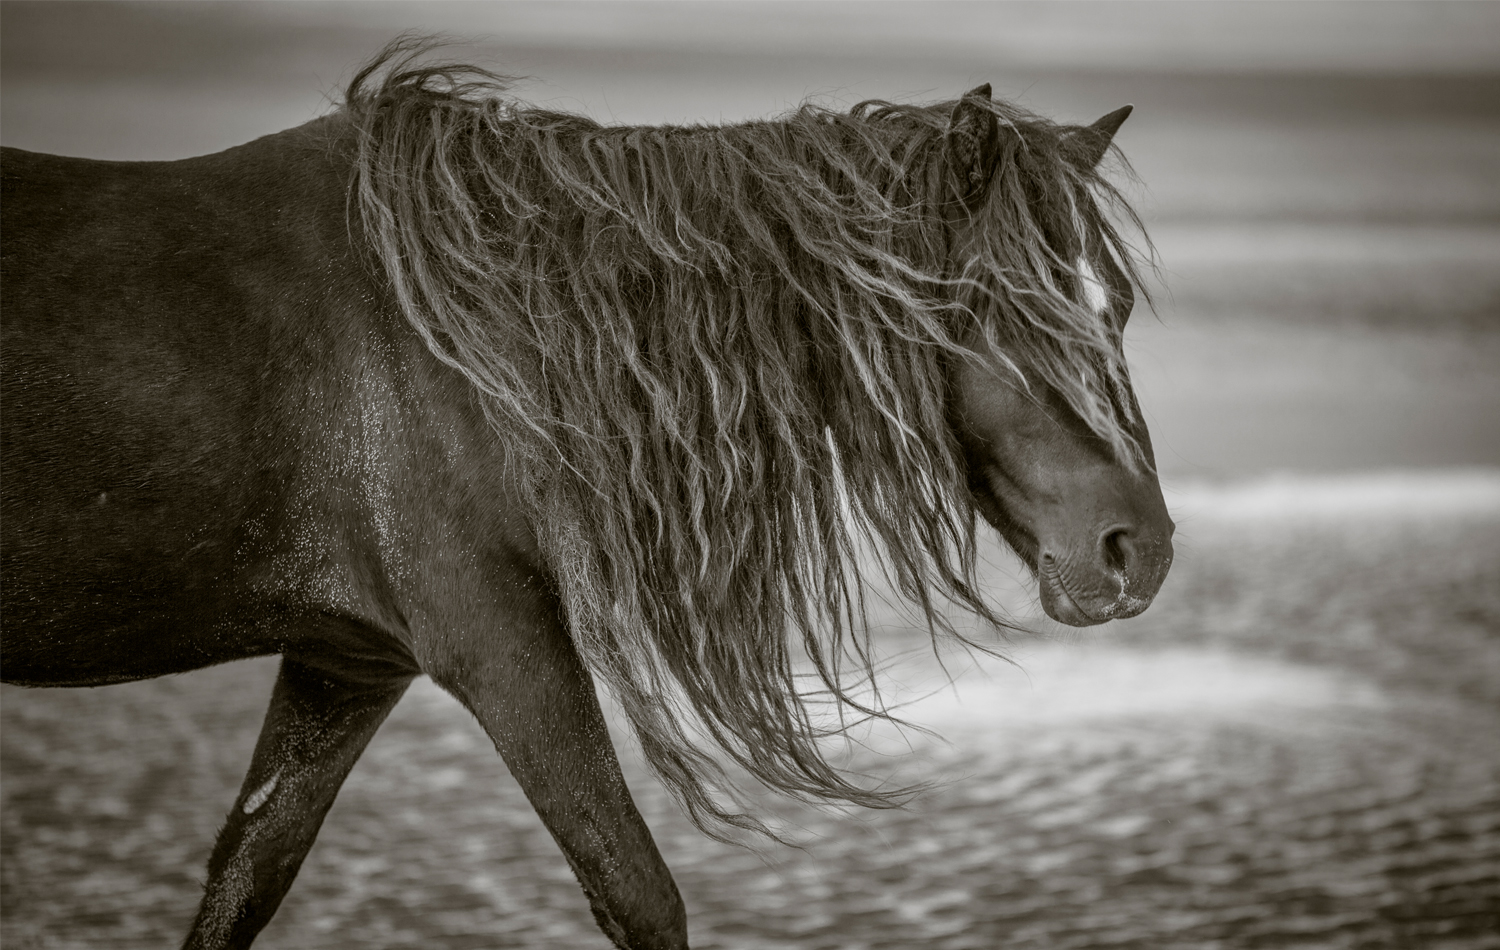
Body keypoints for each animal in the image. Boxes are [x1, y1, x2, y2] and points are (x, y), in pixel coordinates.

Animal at [0, 42, 1170, 948]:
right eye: (1001, 303)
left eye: (1112, 306)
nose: (1139, 550)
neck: (461, 345)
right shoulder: (501, 646)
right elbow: (636, 890)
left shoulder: (347, 665)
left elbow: (247, 873)